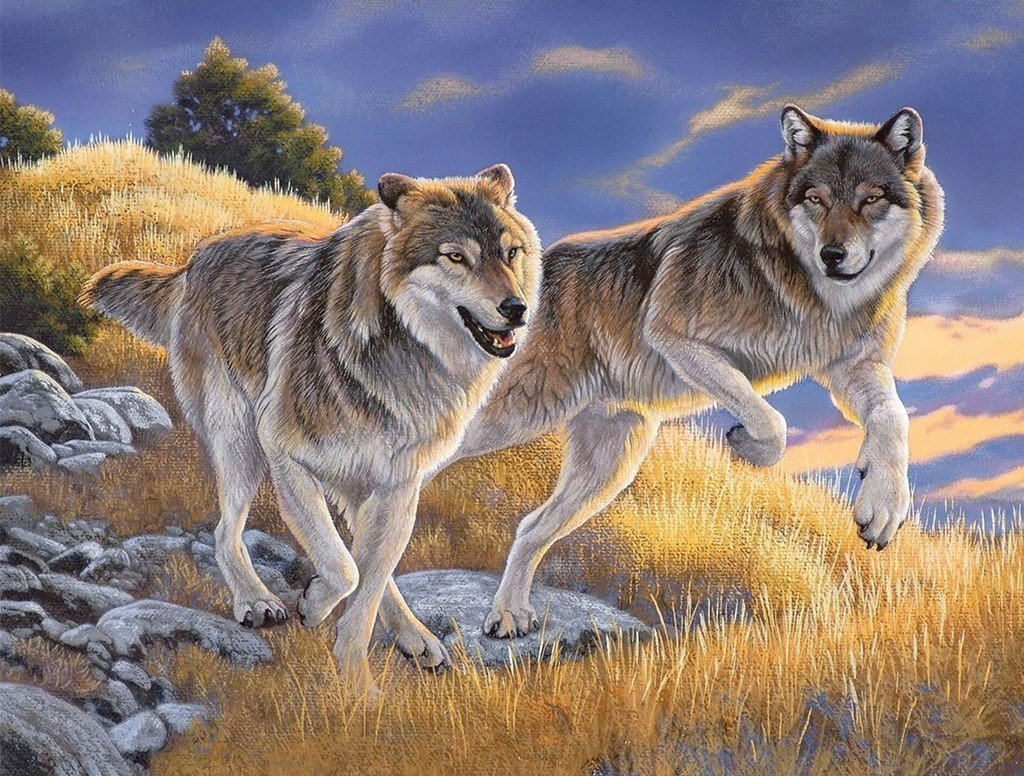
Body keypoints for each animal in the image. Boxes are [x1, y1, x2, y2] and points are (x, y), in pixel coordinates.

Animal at [83, 164, 542, 692]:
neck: (403, 357)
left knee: (368, 567)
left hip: (355, 484)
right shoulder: (286, 457)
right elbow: (344, 571)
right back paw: (255, 600)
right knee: (224, 532)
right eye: (455, 257)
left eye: (511, 253)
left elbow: (364, 592)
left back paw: (415, 637)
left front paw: (360, 691)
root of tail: (195, 258)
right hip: (240, 443)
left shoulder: (398, 489)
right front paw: (314, 606)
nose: (516, 308)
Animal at [375, 106, 944, 652]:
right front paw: (744, 444)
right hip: (506, 421)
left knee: (529, 526)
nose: (832, 255)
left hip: (609, 466)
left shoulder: (854, 368)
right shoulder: (675, 338)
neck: (808, 288)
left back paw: (508, 616)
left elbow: (892, 416)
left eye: (871, 199)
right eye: (816, 199)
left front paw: (882, 508)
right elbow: (772, 422)